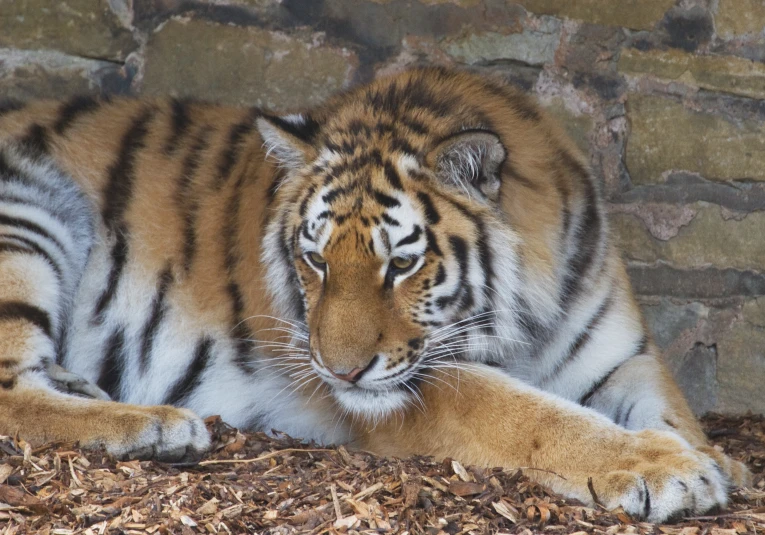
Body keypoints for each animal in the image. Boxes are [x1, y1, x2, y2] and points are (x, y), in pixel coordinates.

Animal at [0, 67, 752, 524]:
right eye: (315, 260)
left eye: (402, 264)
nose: (338, 372)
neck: (527, 319)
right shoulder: (429, 386)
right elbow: (533, 415)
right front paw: (661, 467)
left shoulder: (623, 357)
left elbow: (675, 412)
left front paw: (717, 461)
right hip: (28, 212)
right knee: (13, 394)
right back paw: (158, 425)